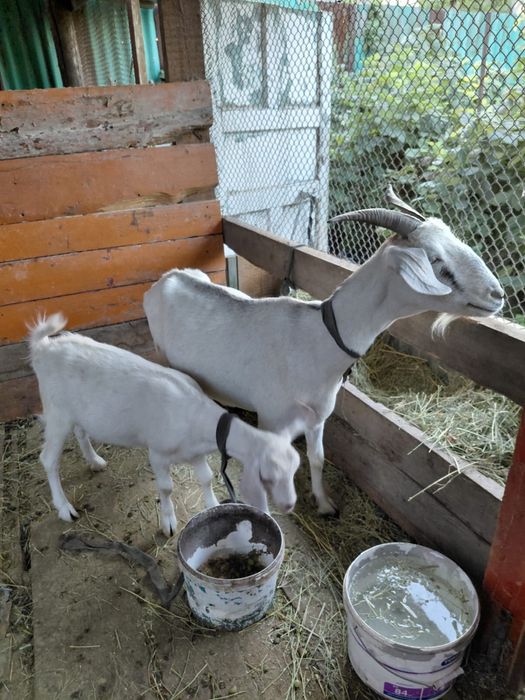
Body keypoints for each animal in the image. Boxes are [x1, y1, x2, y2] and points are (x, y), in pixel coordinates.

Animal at [29, 314, 313, 536]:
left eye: (295, 470)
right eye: (268, 477)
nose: (289, 505)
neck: (196, 416)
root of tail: (43, 348)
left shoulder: (196, 452)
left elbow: (206, 477)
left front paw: (212, 505)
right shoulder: (158, 453)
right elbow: (166, 488)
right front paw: (168, 522)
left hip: (77, 412)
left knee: (80, 432)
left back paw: (94, 461)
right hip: (57, 412)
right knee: (48, 459)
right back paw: (64, 507)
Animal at [143, 188, 504, 515]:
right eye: (436, 260)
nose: (497, 294)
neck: (317, 340)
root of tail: (168, 278)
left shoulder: (317, 417)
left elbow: (317, 458)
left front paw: (325, 504)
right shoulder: (271, 419)